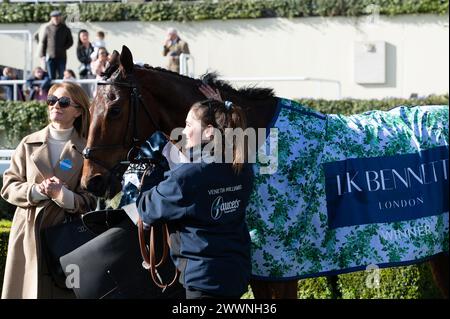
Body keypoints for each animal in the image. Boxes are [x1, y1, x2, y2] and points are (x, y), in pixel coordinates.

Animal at [81, 45, 450, 300]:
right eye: (90, 105)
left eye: (115, 109)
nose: (91, 180)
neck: (253, 142)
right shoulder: (260, 269)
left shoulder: (284, 265)